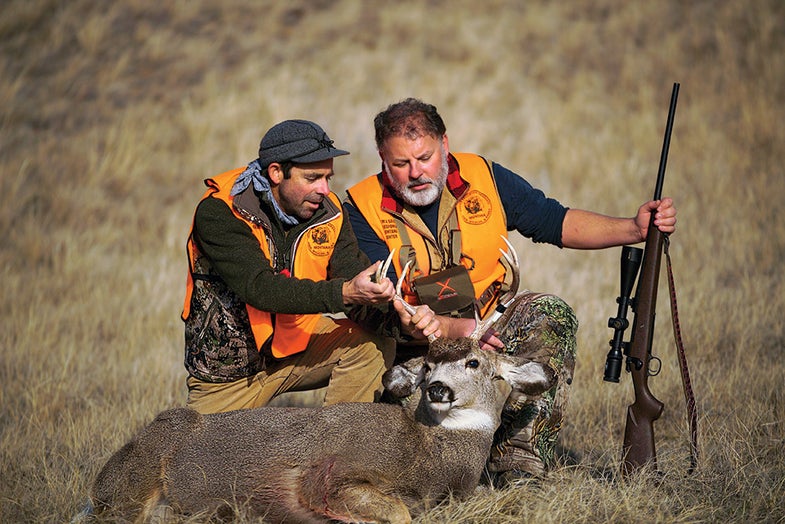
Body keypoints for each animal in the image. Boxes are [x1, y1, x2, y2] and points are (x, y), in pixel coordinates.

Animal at [87, 334, 552, 520]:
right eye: (428, 367)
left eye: (473, 362)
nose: (438, 388)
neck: (429, 456)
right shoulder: (336, 474)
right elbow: (398, 512)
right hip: (137, 479)